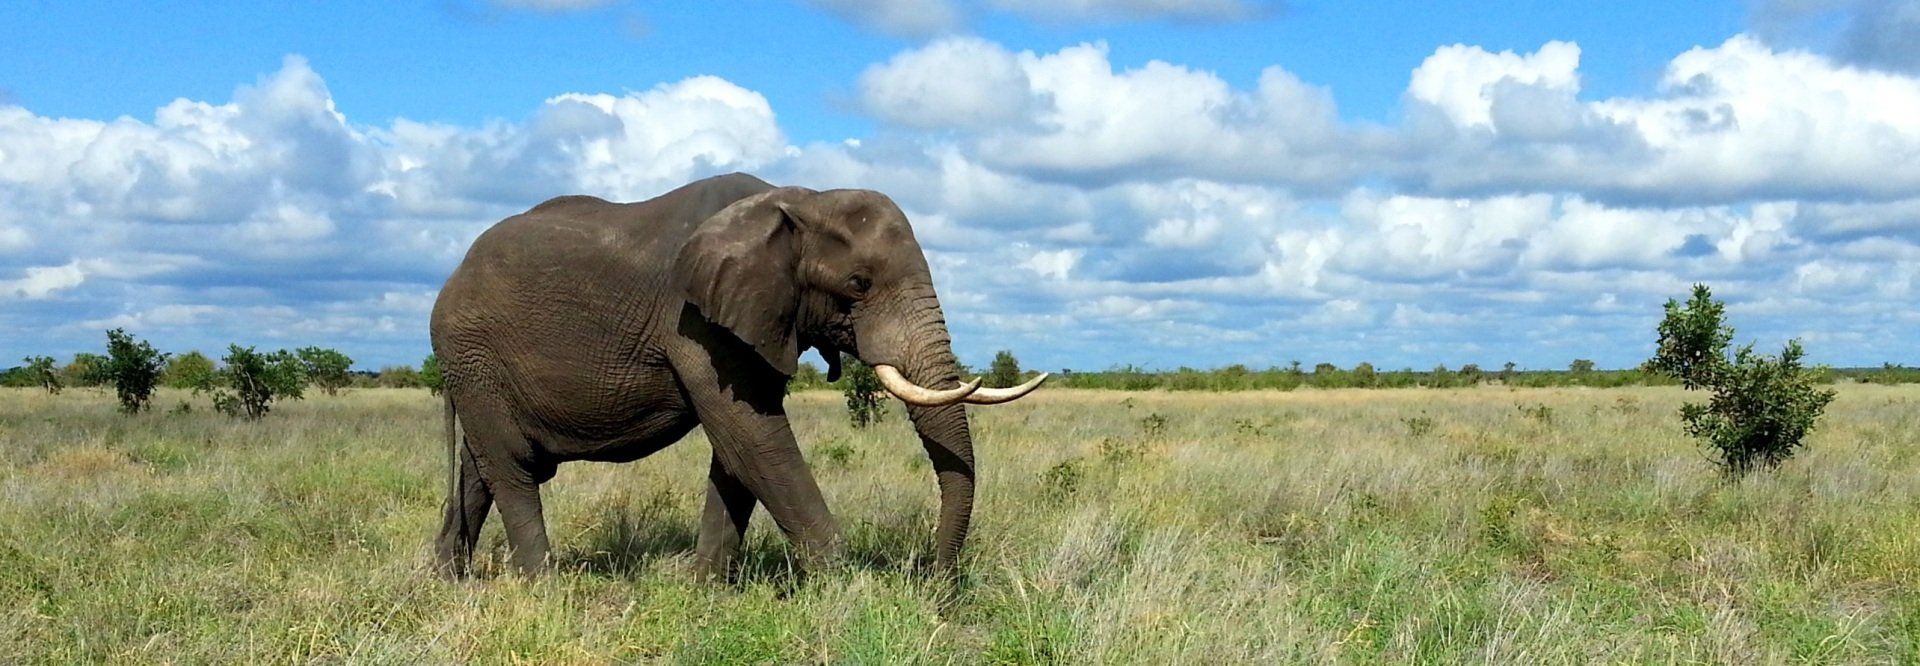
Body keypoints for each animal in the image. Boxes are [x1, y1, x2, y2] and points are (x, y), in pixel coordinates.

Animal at [429, 172, 1046, 580]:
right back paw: (543, 586)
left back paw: (447, 580)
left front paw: (703, 587)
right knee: (512, 467)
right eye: (859, 284)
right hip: (471, 354)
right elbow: (751, 434)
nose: (935, 581)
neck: (799, 200)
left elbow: (739, 449)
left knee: (481, 469)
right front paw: (847, 588)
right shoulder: (694, 319)